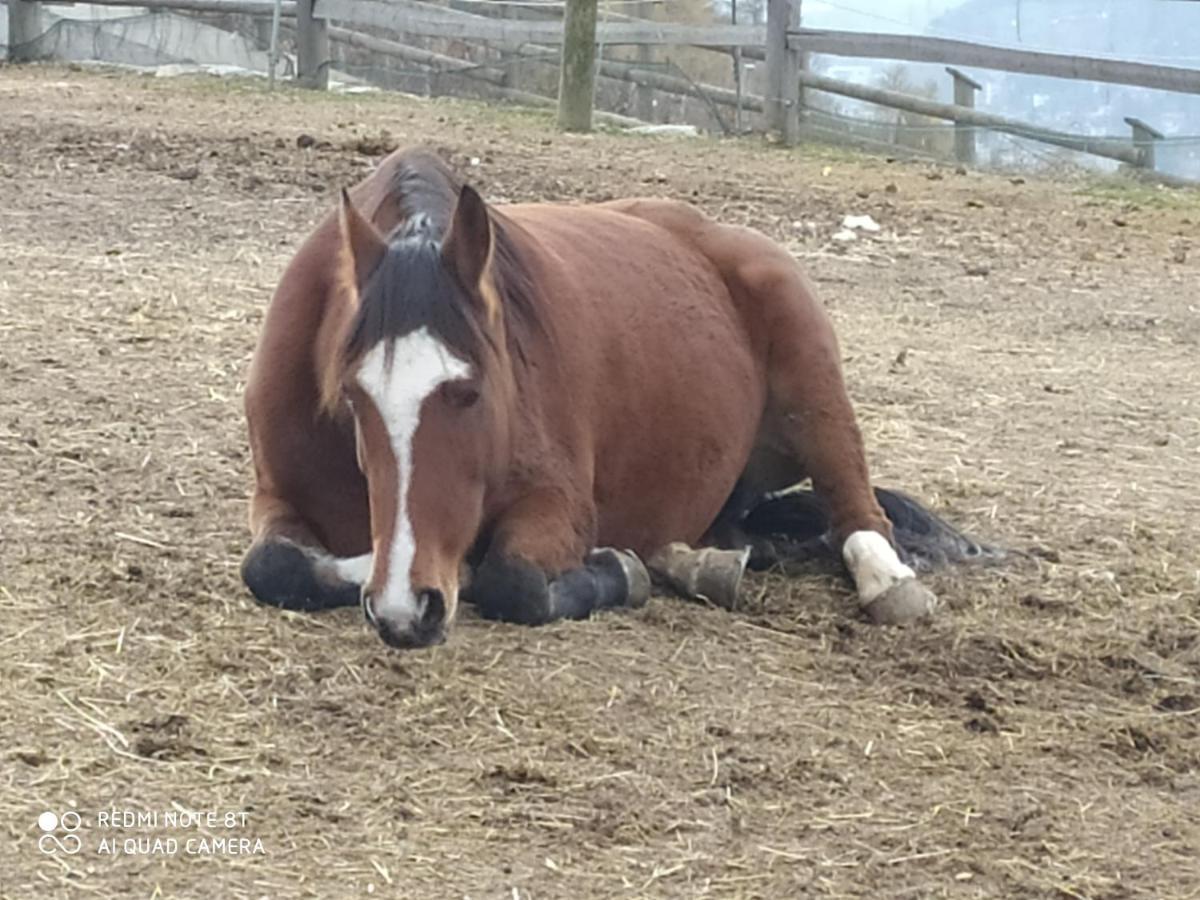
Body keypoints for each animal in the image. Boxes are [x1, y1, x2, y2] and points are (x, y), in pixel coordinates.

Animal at [236, 150, 993, 657]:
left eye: (470, 392)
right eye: (353, 397)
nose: (405, 608)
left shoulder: (559, 504)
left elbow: (513, 581)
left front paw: (614, 572)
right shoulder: (277, 496)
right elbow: (272, 568)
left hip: (816, 387)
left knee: (859, 513)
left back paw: (886, 582)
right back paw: (696, 562)